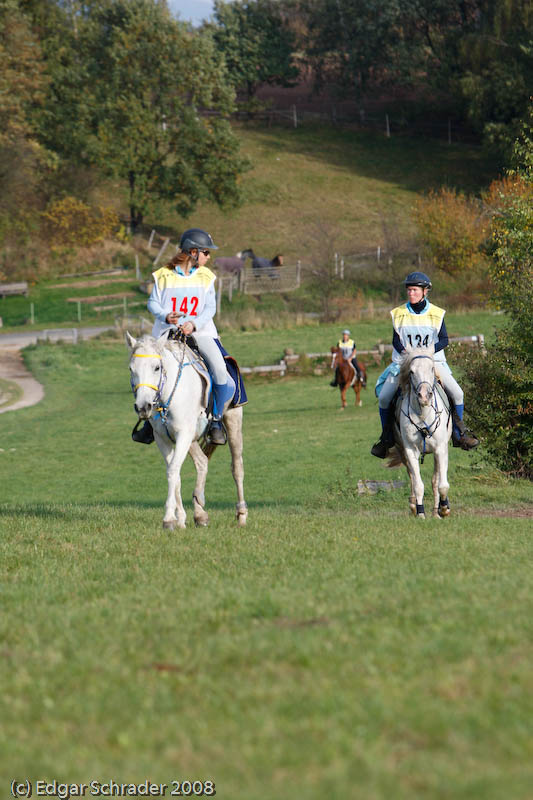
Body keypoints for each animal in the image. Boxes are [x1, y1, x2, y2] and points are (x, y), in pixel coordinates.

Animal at [126, 332, 247, 532]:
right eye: (131, 369)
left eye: (157, 367)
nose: (143, 407)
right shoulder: (163, 439)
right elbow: (175, 473)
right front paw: (180, 519)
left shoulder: (183, 434)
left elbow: (173, 470)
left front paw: (168, 519)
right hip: (192, 439)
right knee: (202, 462)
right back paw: (199, 513)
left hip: (233, 420)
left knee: (236, 468)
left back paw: (241, 515)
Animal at [388, 346, 450, 520]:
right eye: (411, 371)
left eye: (432, 369)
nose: (424, 396)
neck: (423, 413)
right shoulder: (410, 451)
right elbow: (418, 484)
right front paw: (421, 512)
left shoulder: (440, 449)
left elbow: (442, 485)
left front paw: (444, 509)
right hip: (402, 451)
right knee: (411, 476)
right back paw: (414, 506)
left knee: (436, 480)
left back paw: (436, 511)